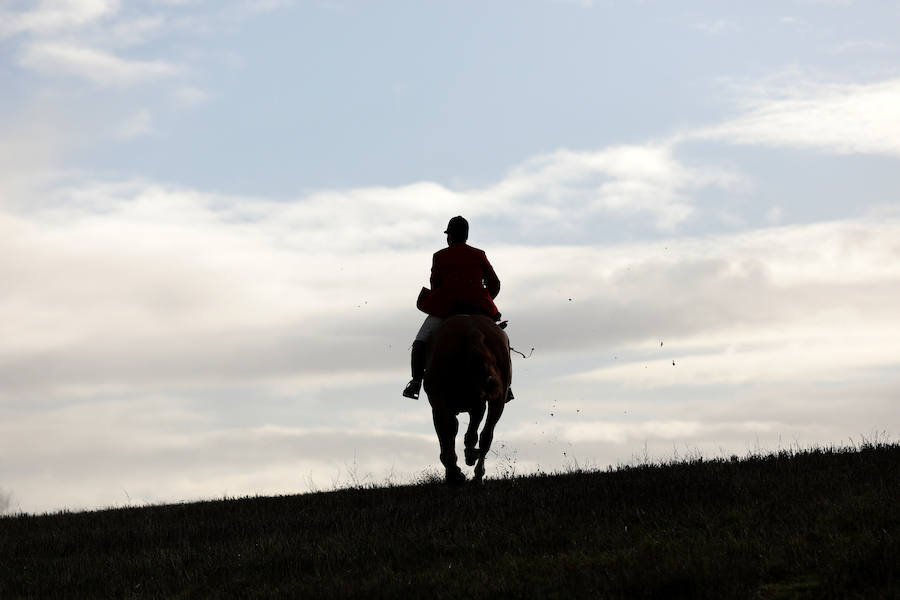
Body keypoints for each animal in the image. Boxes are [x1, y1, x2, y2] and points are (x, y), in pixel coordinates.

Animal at [424, 314, 510, 482]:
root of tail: (473, 329)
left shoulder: (442, 403)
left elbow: (448, 432)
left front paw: (455, 470)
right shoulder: (477, 403)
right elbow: (469, 433)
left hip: (439, 399)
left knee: (448, 430)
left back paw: (460, 471)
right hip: (498, 398)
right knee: (486, 436)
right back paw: (476, 471)